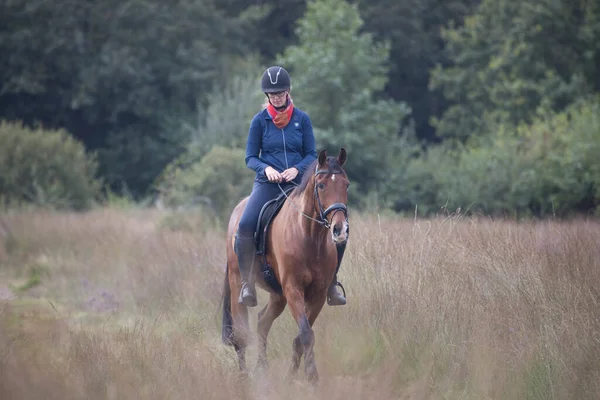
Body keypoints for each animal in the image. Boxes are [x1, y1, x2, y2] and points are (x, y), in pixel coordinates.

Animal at [221, 147, 352, 382]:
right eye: (321, 185)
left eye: (346, 184)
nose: (340, 229)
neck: (309, 236)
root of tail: (236, 213)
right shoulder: (293, 289)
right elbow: (306, 333)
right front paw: (312, 376)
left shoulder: (318, 294)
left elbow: (302, 335)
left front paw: (292, 375)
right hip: (239, 285)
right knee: (241, 334)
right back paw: (244, 376)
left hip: (278, 294)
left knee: (263, 322)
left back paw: (262, 367)